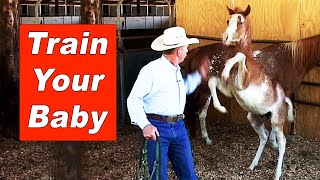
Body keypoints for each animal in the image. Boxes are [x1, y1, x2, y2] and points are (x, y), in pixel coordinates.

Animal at [220, 4, 292, 179]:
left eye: (240, 21)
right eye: (228, 20)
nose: (225, 37)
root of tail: (284, 99)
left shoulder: (242, 83)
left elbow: (239, 55)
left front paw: (225, 70)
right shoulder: (231, 91)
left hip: (277, 122)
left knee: (283, 142)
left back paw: (277, 174)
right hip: (254, 118)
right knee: (264, 137)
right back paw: (253, 165)